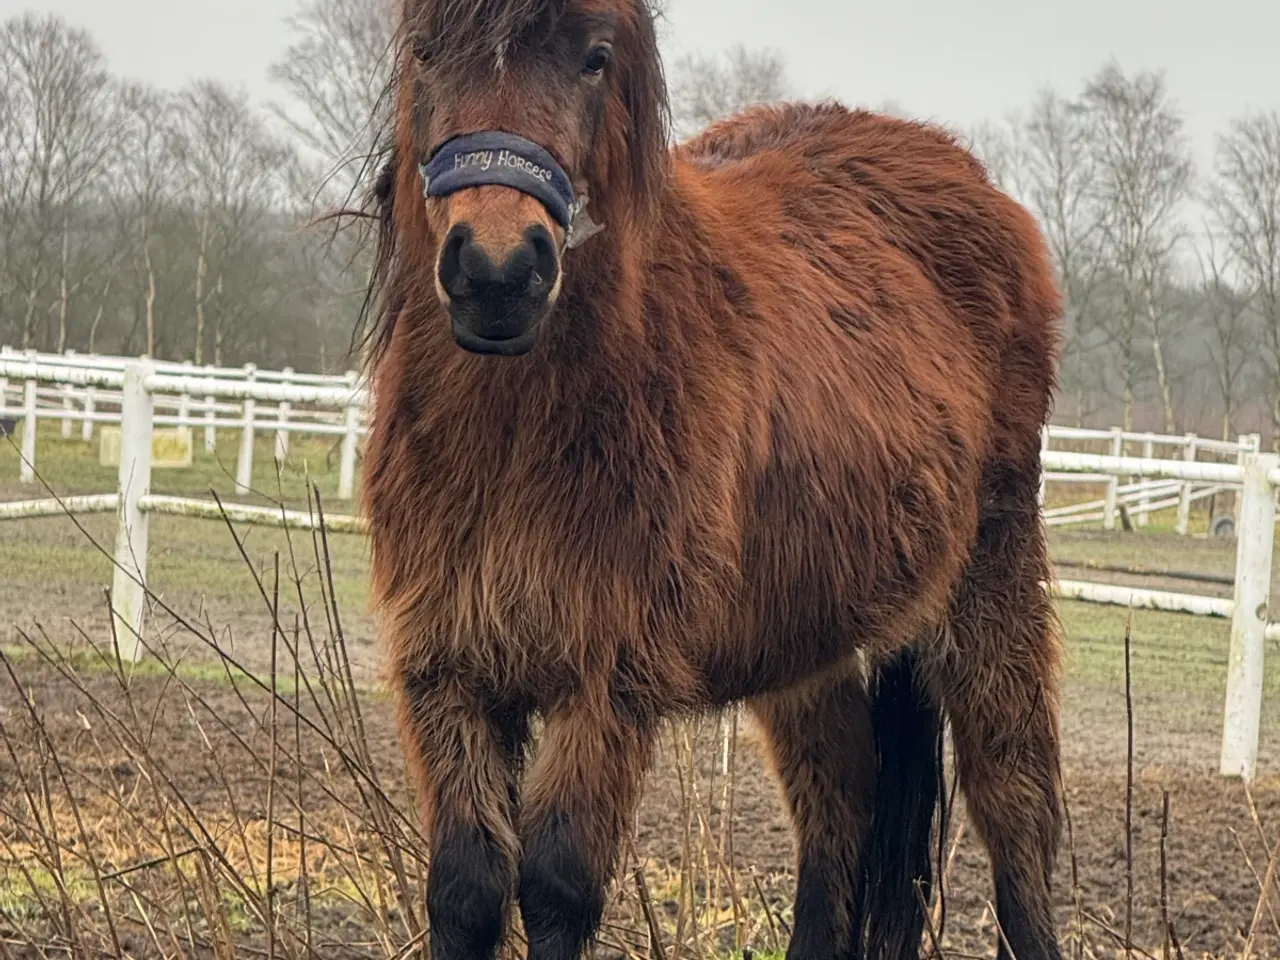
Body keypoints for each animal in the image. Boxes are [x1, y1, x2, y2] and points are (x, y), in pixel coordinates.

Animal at [357, 0, 1067, 957]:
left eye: (595, 58)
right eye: (426, 51)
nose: (497, 272)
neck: (521, 435)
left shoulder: (606, 684)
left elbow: (556, 886)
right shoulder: (448, 671)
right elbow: (465, 890)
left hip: (992, 579)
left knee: (1015, 809)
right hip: (805, 639)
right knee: (838, 806)